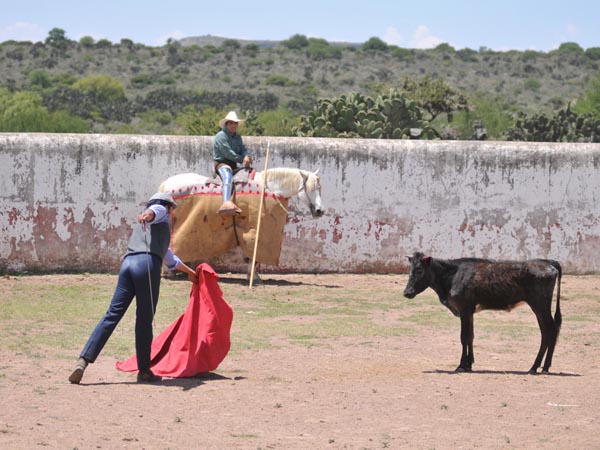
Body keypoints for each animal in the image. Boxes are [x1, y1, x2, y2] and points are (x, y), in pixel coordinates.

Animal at [159, 167, 324, 284]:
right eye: (311, 188)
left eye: (319, 188)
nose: (320, 211)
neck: (268, 189)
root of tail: (166, 184)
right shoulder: (255, 230)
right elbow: (252, 254)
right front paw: (254, 277)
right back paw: (170, 271)